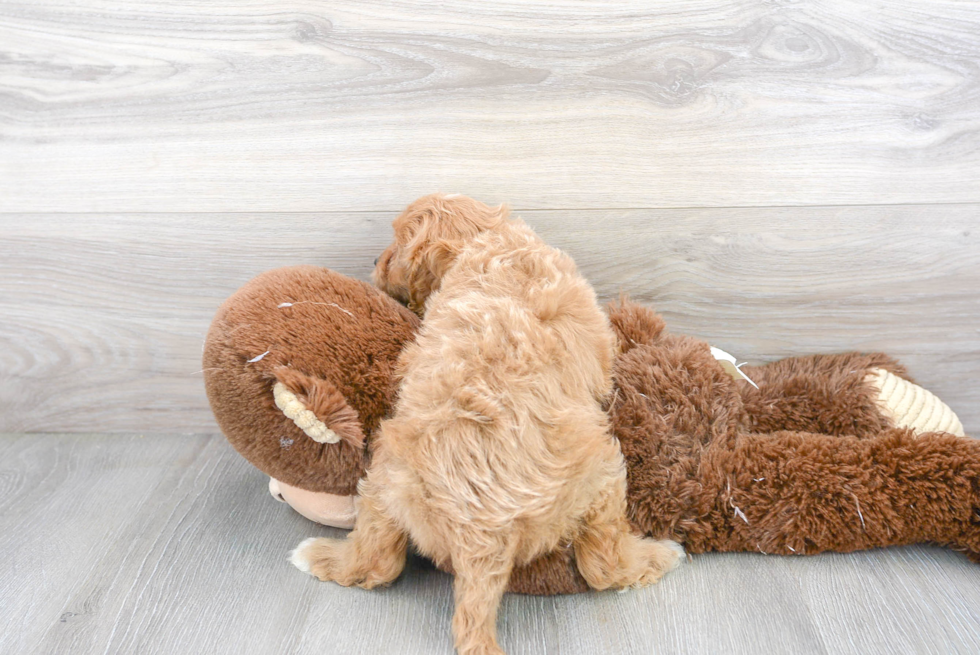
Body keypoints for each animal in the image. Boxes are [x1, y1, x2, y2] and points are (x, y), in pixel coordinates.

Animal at [290, 196, 680, 655]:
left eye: (397, 243)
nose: (372, 261)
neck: (490, 240)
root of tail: (479, 534)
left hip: (383, 480)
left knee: (376, 562)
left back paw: (321, 557)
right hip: (602, 475)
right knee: (604, 565)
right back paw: (660, 555)